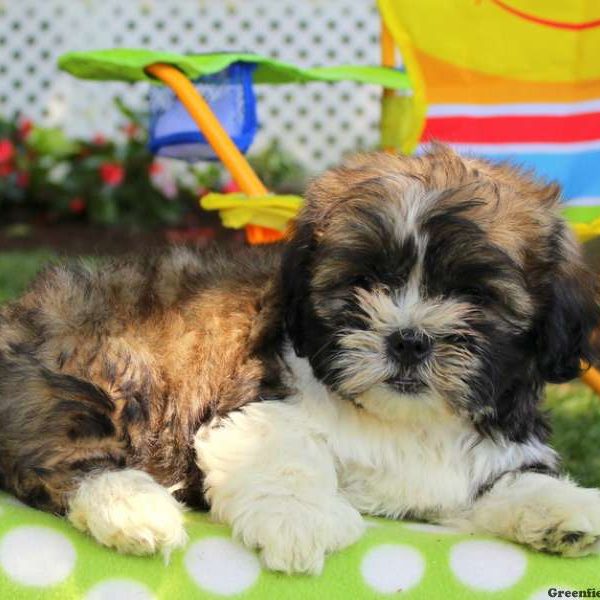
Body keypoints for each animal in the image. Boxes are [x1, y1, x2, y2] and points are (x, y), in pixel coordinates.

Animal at [1, 145, 600, 572]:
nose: (408, 339)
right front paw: (297, 522)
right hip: (91, 369)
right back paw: (132, 506)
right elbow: (283, 452)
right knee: (57, 455)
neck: (405, 422)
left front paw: (561, 510)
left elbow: (504, 481)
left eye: (475, 294)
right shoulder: (255, 407)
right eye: (363, 282)